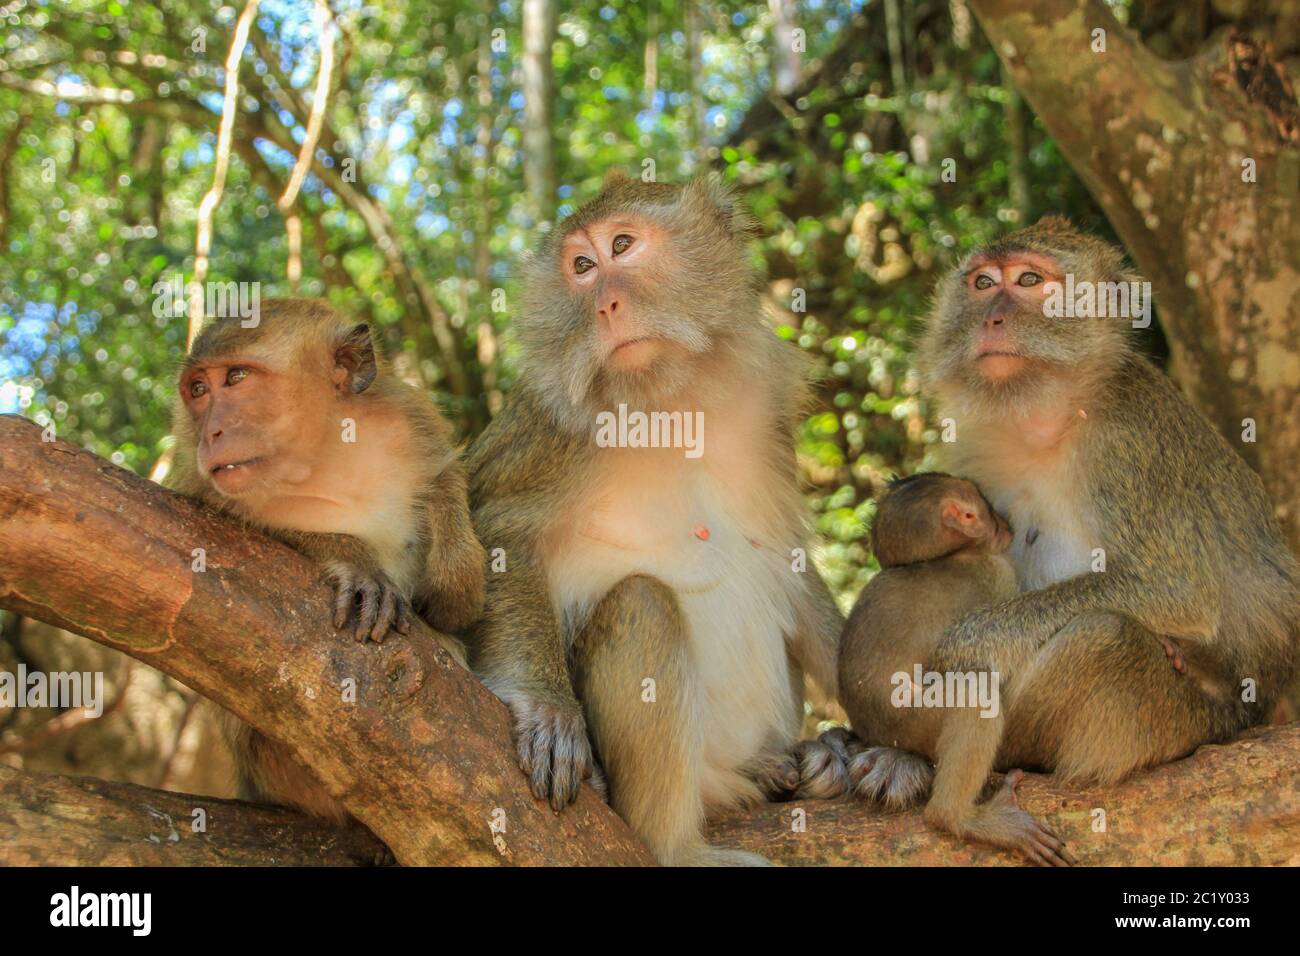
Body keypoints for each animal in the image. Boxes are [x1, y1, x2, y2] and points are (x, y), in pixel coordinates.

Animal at [167, 299, 483, 822]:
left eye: (235, 377)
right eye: (198, 389)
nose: (211, 432)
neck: (324, 454)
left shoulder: (404, 415)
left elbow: (443, 479)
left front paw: (455, 580)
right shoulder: (199, 483)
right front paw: (357, 563)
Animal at [467, 171, 842, 868]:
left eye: (622, 245)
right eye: (582, 268)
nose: (607, 305)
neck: (670, 402)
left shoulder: (766, 404)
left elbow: (786, 550)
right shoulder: (552, 427)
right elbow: (500, 533)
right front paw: (548, 709)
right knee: (642, 602)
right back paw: (677, 847)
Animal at [837, 476, 1071, 868]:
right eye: (985, 507)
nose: (1005, 522)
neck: (950, 555)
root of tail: (872, 731)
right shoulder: (997, 573)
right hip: (912, 719)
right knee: (975, 694)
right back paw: (957, 817)